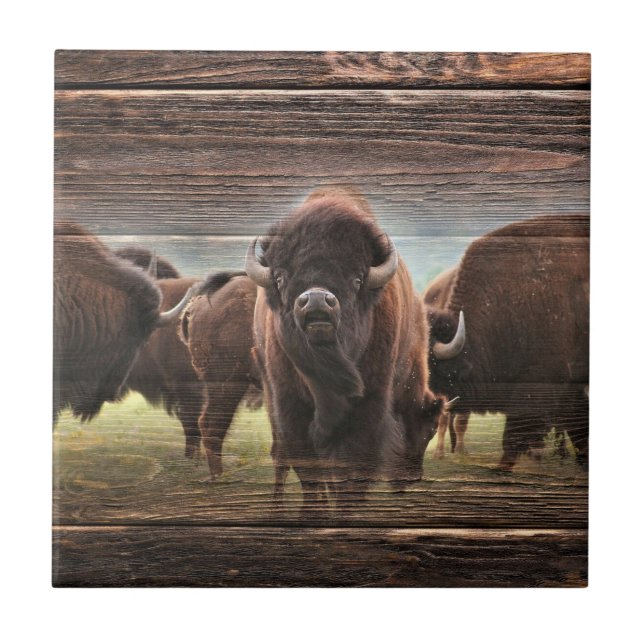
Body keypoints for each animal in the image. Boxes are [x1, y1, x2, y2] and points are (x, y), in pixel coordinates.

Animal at [247, 188, 445, 509]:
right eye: (280, 277)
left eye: (357, 278)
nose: (316, 301)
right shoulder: (290, 406)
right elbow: (308, 469)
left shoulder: (369, 405)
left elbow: (351, 468)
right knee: (283, 458)